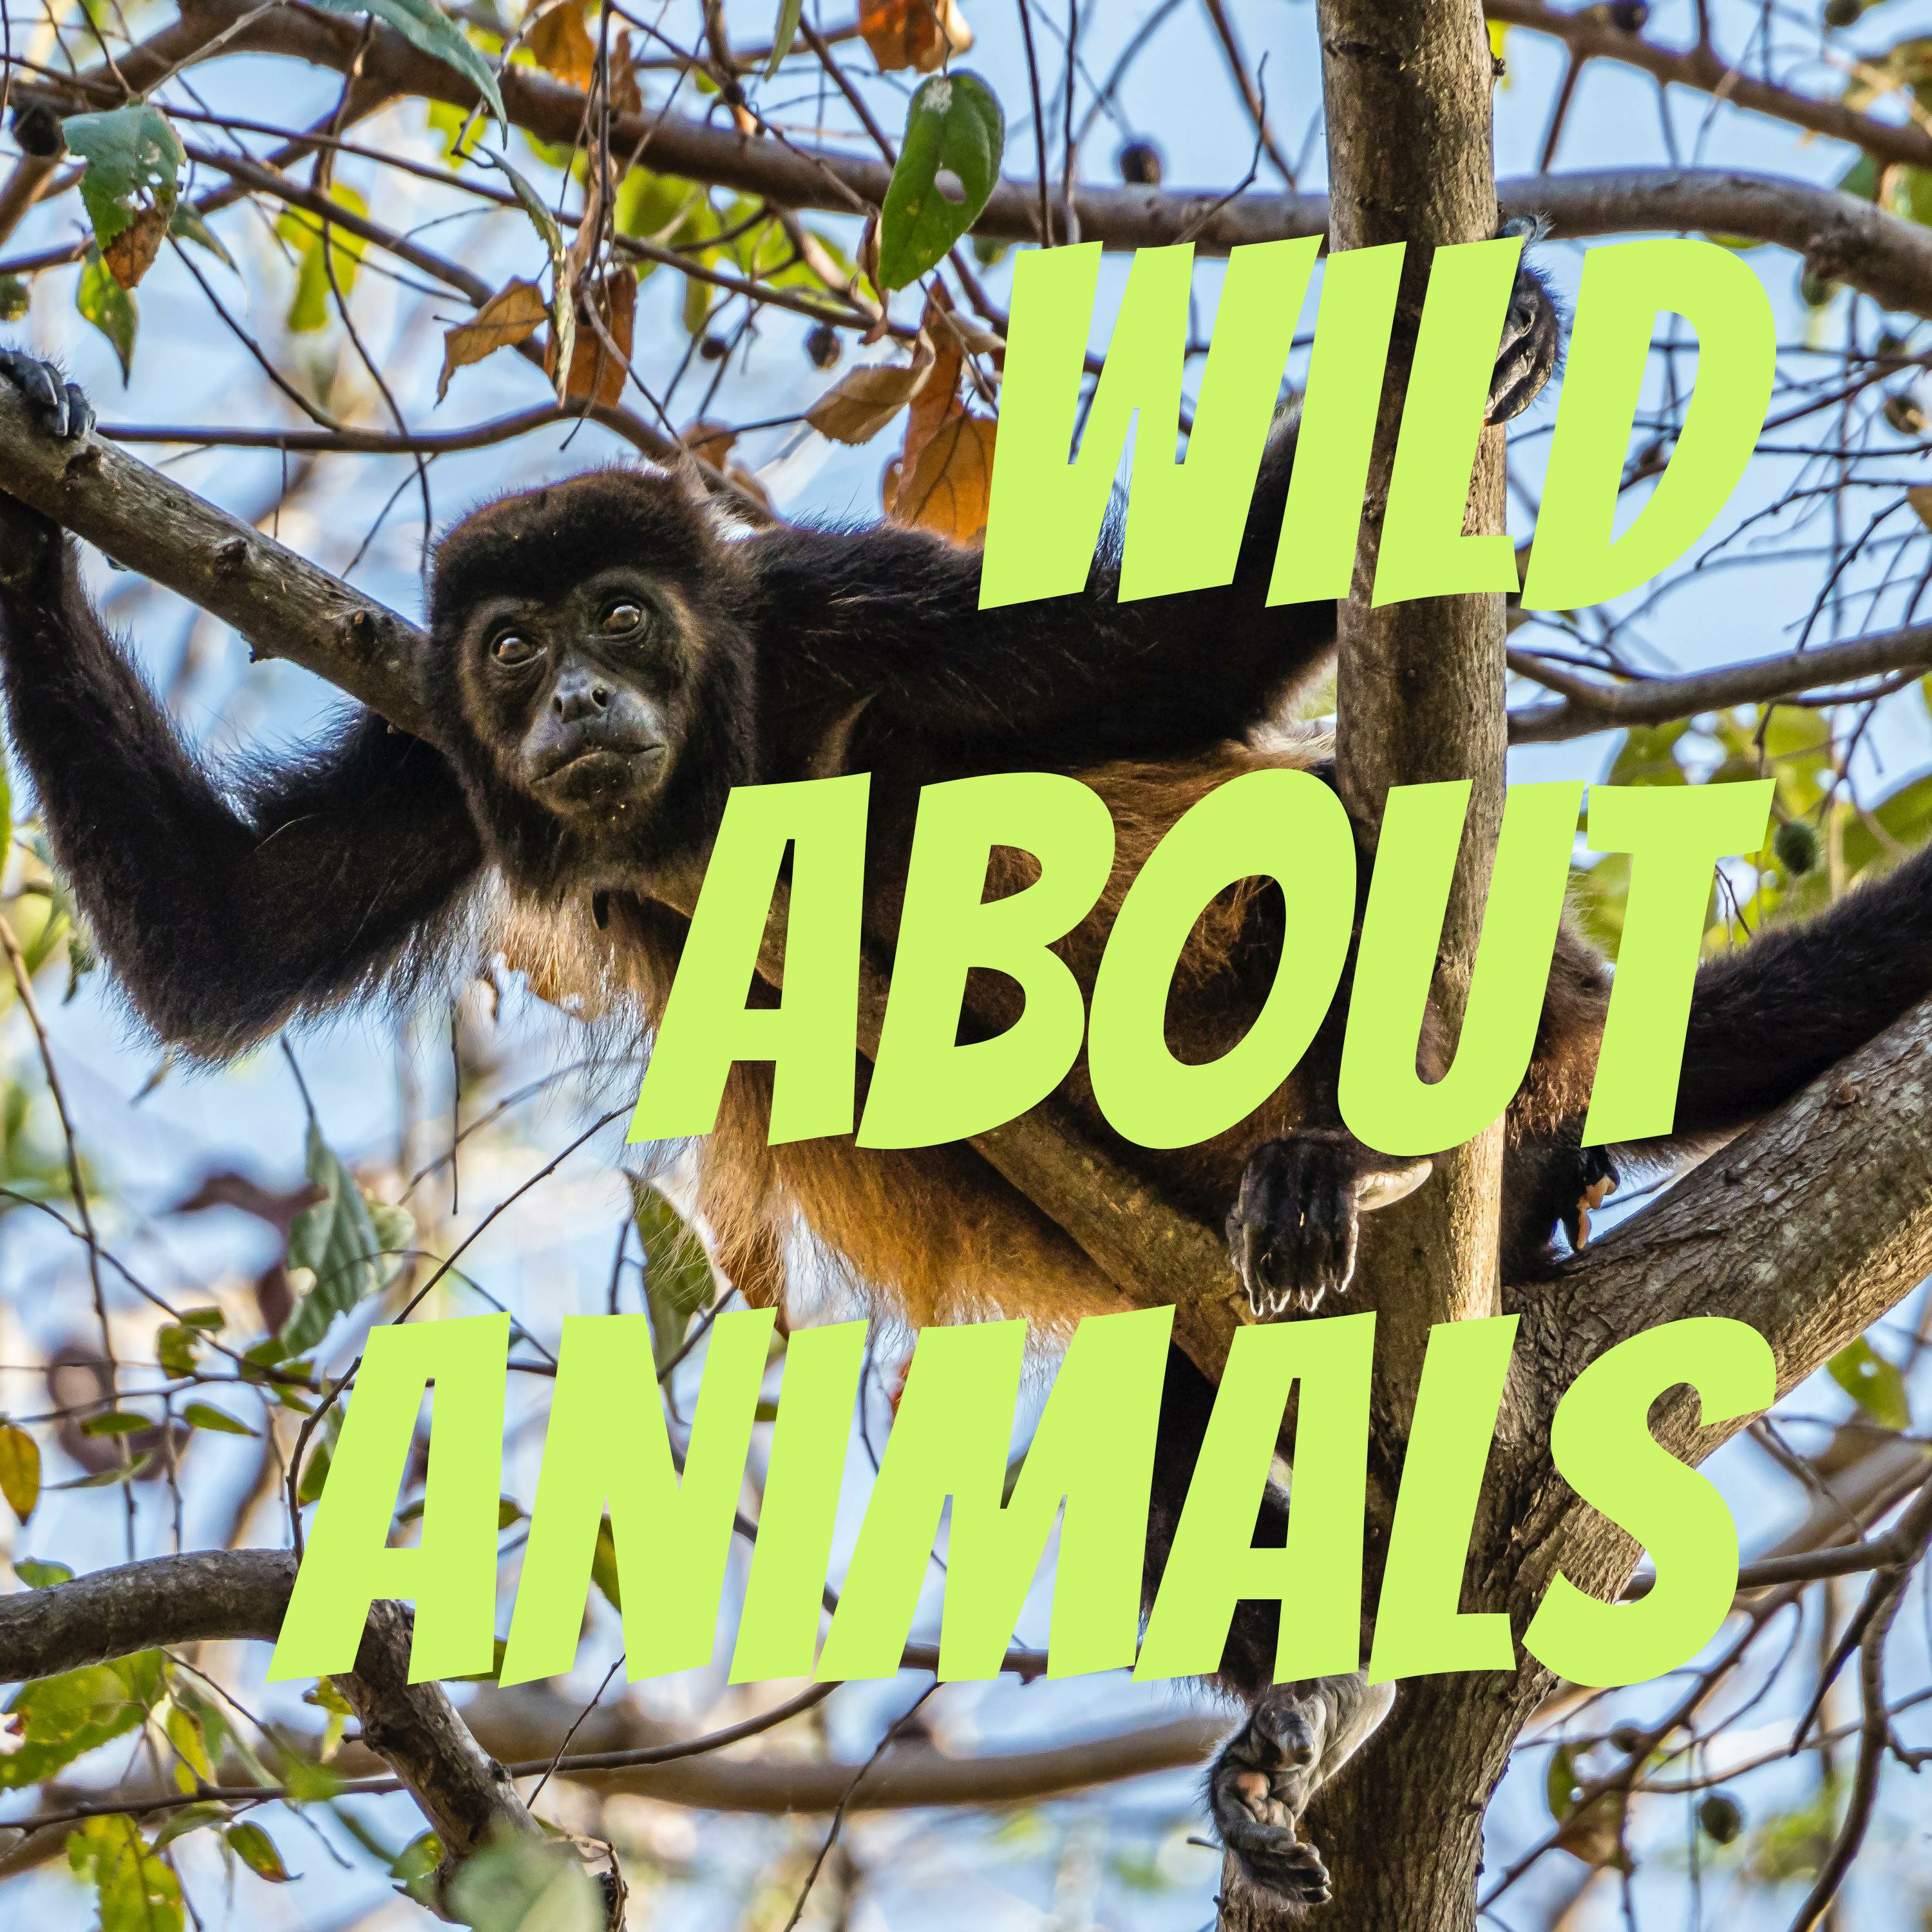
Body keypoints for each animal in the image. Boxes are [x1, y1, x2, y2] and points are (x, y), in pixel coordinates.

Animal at [3, 260, 1923, 1909]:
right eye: (510, 650)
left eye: (621, 617)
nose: (575, 701)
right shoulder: (440, 757)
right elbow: (229, 934)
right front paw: (24, 482)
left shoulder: (838, 609)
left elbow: (1177, 658)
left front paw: (1450, 355)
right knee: (1159, 1445)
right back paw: (1308, 1704)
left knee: (1316, 851)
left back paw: (1364, 1154)